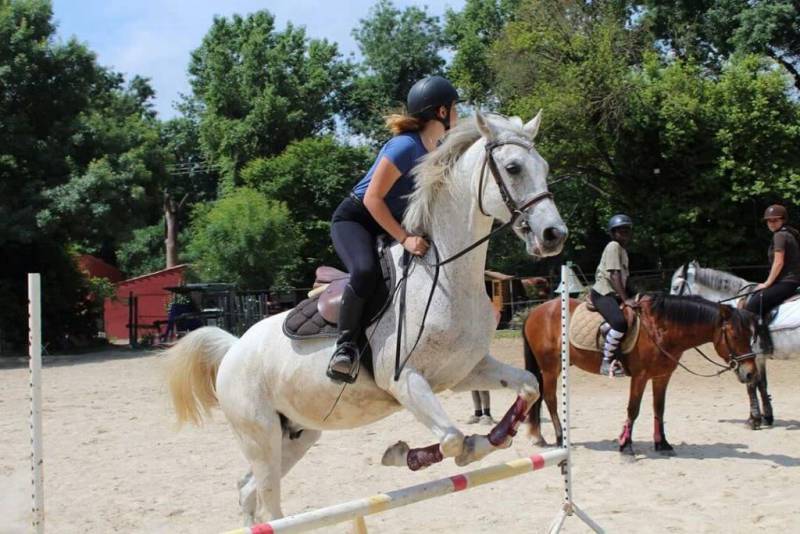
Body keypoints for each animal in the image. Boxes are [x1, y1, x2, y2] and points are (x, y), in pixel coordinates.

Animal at [167, 111, 568, 524]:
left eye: (544, 167)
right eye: (513, 168)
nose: (554, 235)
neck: (445, 274)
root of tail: (234, 349)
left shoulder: (463, 373)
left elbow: (527, 387)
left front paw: (488, 441)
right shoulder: (404, 381)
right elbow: (452, 438)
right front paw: (402, 454)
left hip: (296, 434)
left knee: (246, 489)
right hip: (259, 436)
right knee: (269, 502)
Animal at [520, 294, 760, 456]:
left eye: (751, 334)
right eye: (735, 335)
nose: (750, 373)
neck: (660, 328)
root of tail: (536, 311)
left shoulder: (662, 376)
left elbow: (659, 409)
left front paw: (662, 443)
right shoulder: (640, 376)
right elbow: (633, 409)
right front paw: (626, 445)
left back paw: (540, 436)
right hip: (550, 367)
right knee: (549, 398)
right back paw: (560, 437)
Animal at [672, 262, 796, 430]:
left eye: (676, 287)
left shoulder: (750, 355)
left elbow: (751, 384)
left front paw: (754, 419)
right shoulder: (759, 357)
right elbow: (762, 384)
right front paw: (767, 417)